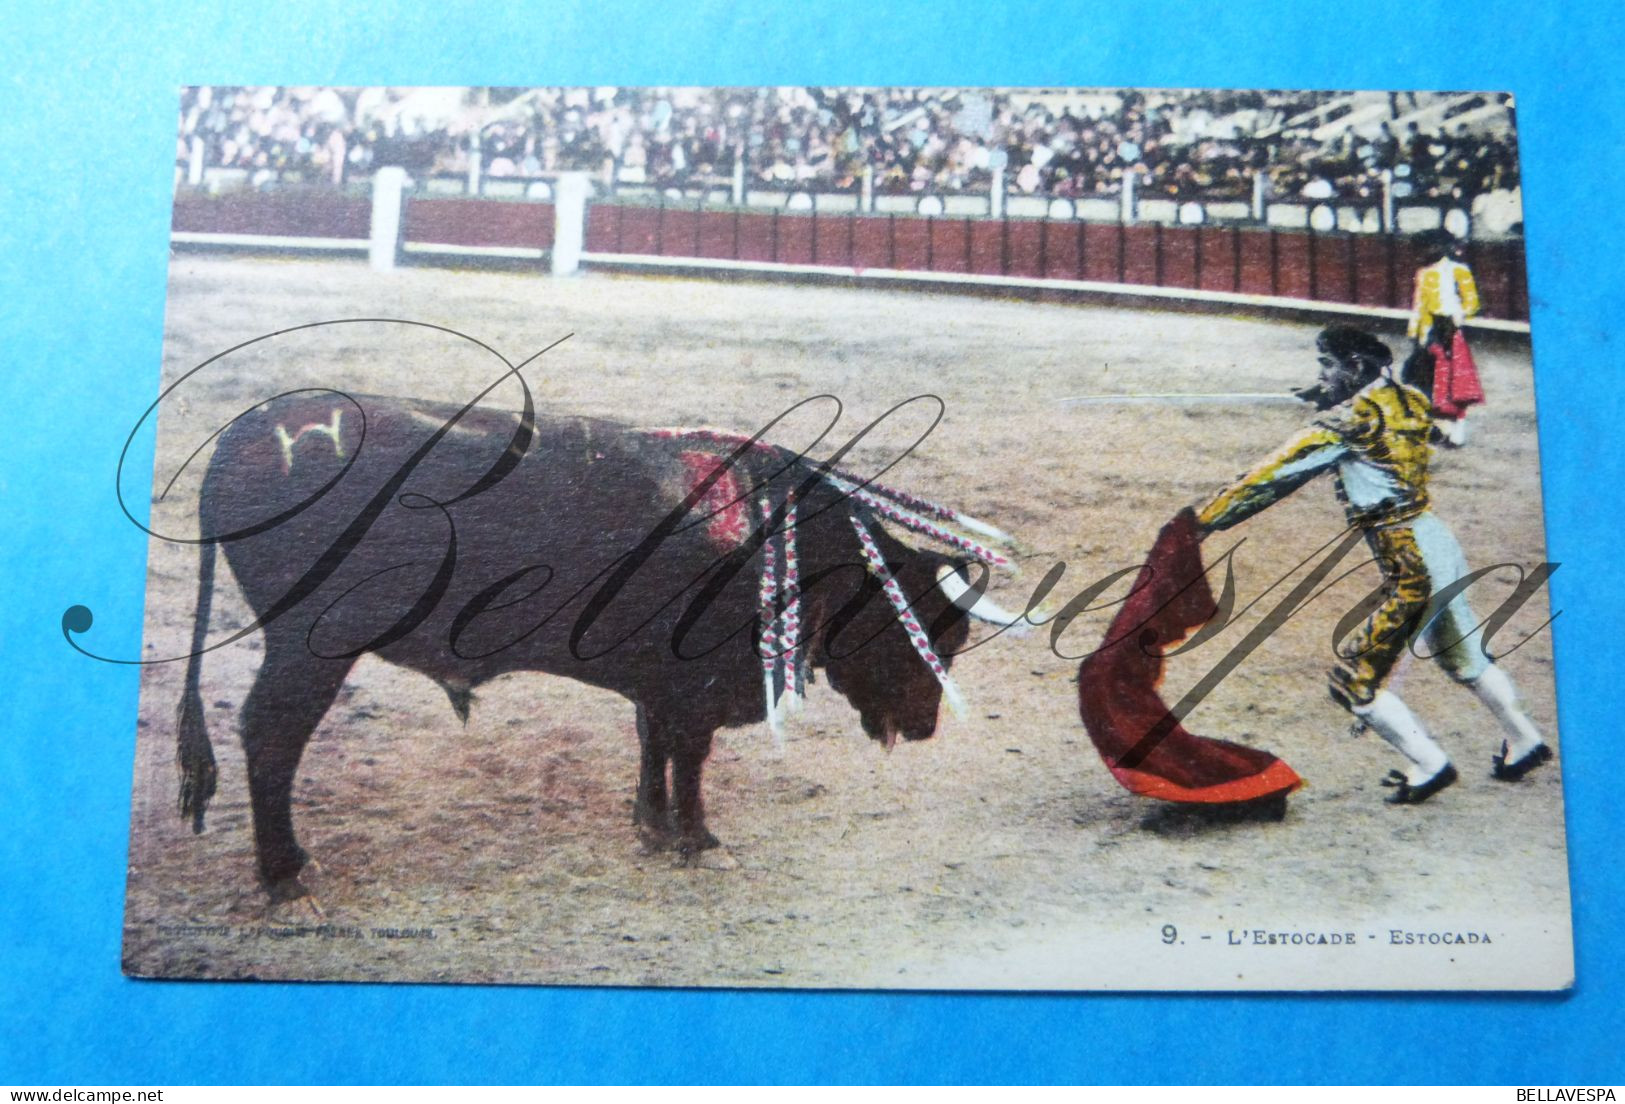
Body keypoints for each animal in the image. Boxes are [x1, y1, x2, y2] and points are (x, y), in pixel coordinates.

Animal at [177, 393, 988, 904]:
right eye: (921, 630)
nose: (926, 726)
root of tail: (250, 432)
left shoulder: (661, 682)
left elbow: (654, 743)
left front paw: (653, 827)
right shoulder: (696, 685)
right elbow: (690, 756)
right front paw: (697, 837)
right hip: (307, 649)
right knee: (271, 736)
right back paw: (285, 873)